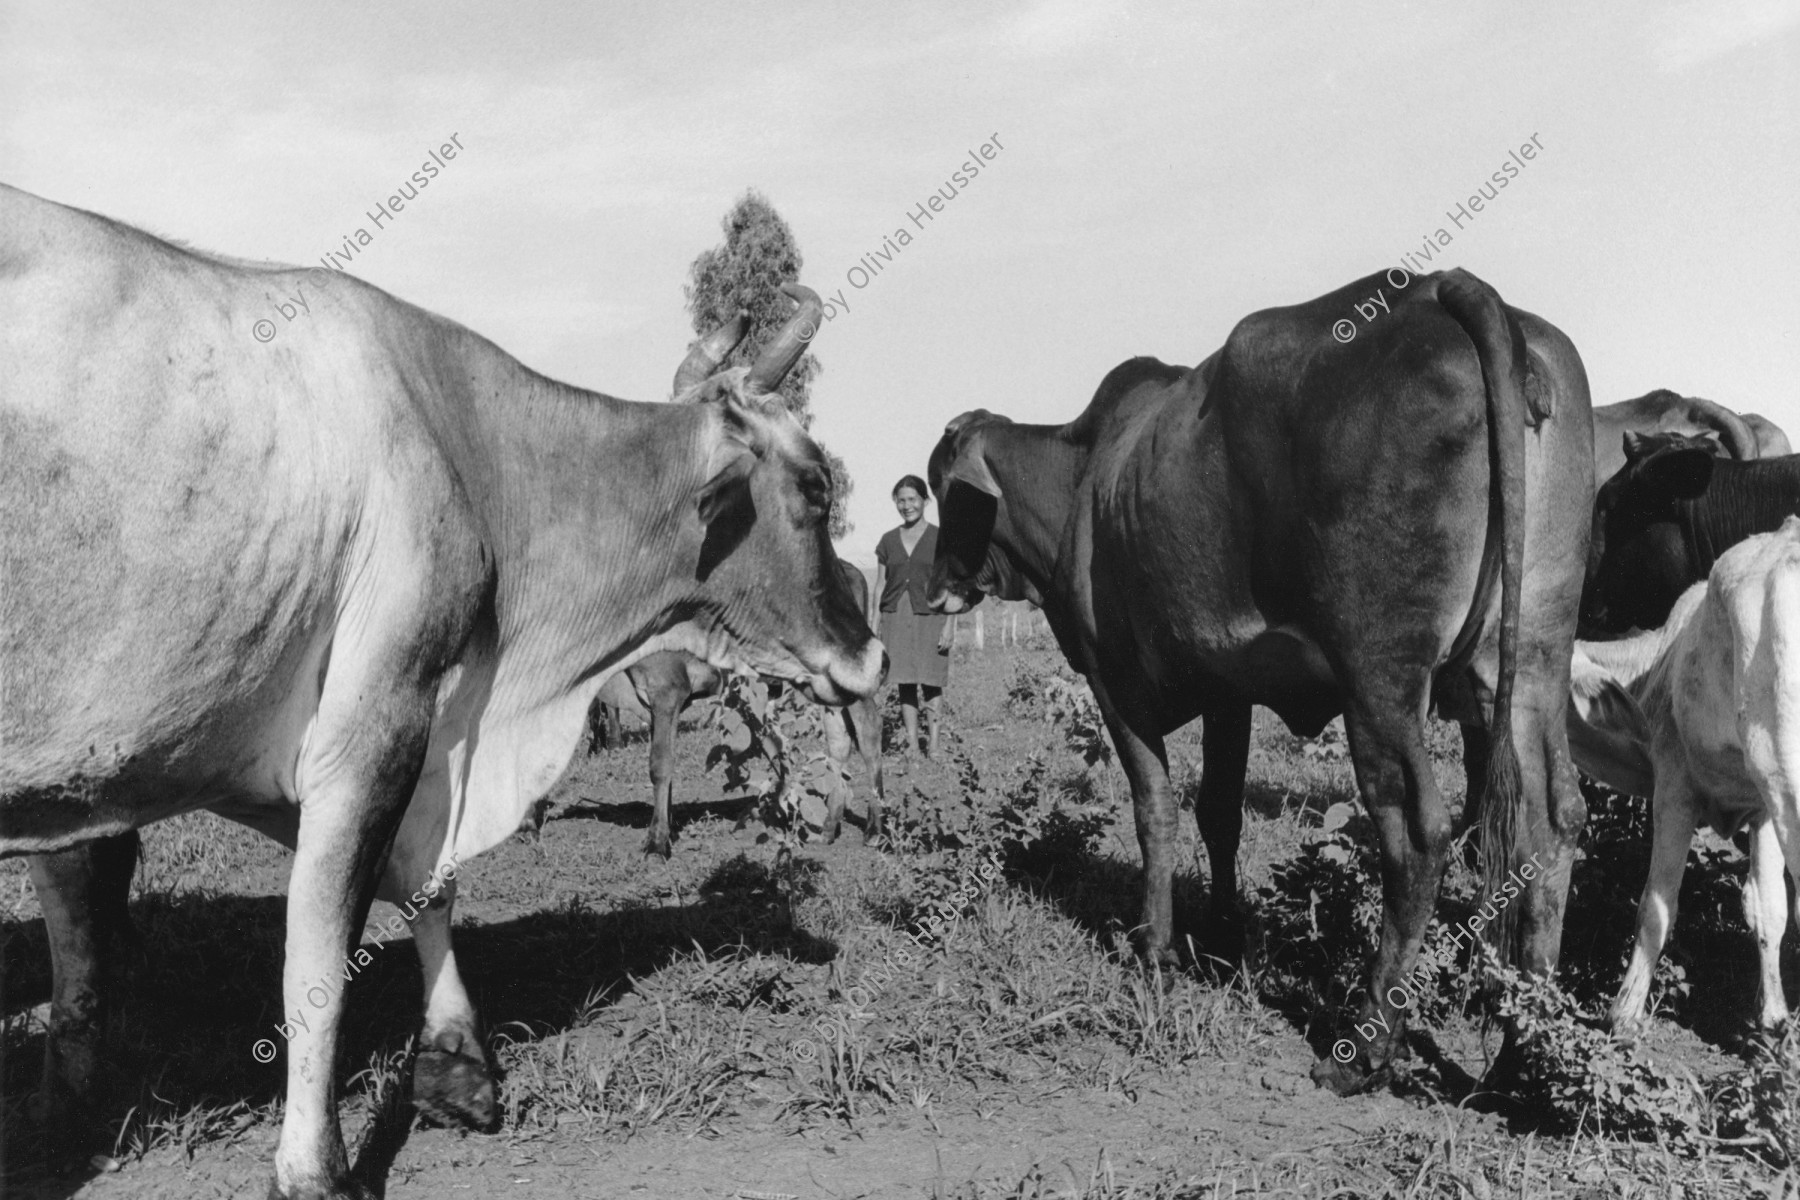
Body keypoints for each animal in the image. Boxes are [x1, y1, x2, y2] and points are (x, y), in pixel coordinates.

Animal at [597, 554, 885, 852]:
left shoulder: (667, 691)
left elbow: (660, 765)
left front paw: (656, 841)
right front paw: (668, 827)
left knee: (869, 732)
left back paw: (874, 828)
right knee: (838, 739)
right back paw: (829, 827)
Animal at [928, 268, 1591, 1093]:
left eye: (943, 491)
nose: (934, 584)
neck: (1082, 474)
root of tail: (1446, 285)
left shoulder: (1114, 681)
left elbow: (1154, 810)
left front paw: (1155, 946)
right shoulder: (1228, 688)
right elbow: (1219, 812)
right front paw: (1220, 939)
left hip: (1379, 676)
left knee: (1417, 834)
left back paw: (1363, 1049)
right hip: (1531, 655)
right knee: (1551, 823)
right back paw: (1520, 1057)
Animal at [1562, 518, 1800, 1036]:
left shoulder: (1674, 787)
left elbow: (1655, 908)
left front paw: (1624, 1013)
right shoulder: (1764, 805)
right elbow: (1768, 908)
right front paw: (1772, 1016)